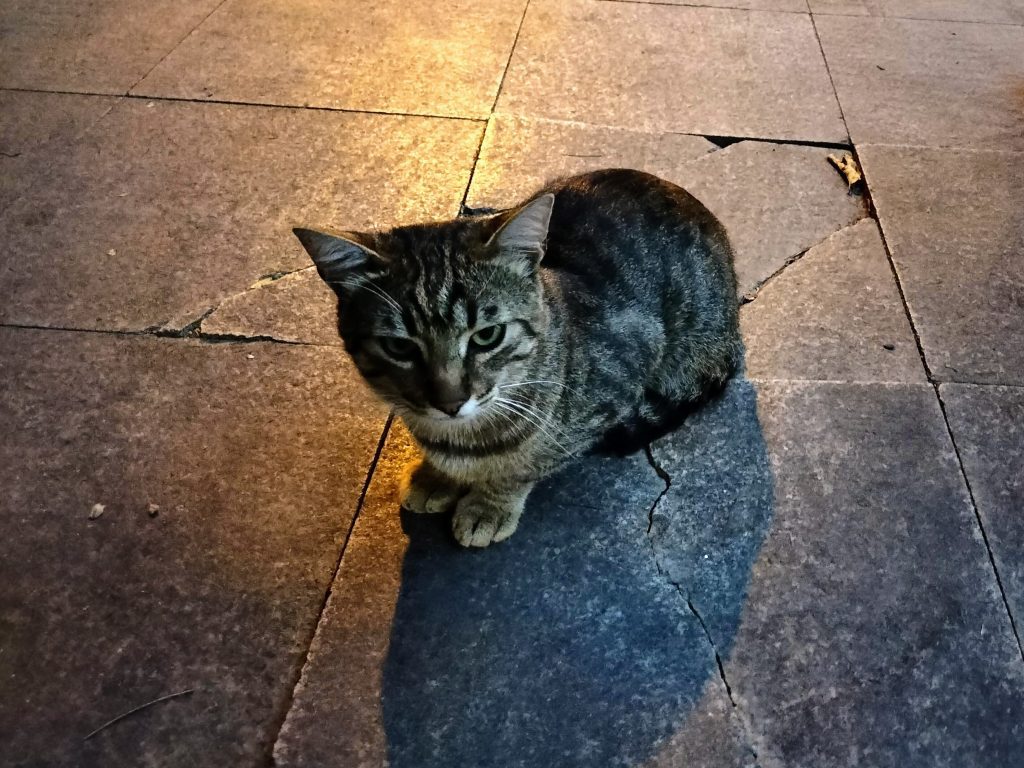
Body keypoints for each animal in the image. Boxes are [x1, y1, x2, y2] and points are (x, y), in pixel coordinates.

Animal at [292, 171, 741, 548]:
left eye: (487, 336)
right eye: (400, 348)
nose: (450, 402)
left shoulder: (620, 379)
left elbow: (525, 465)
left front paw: (488, 505)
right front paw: (437, 474)